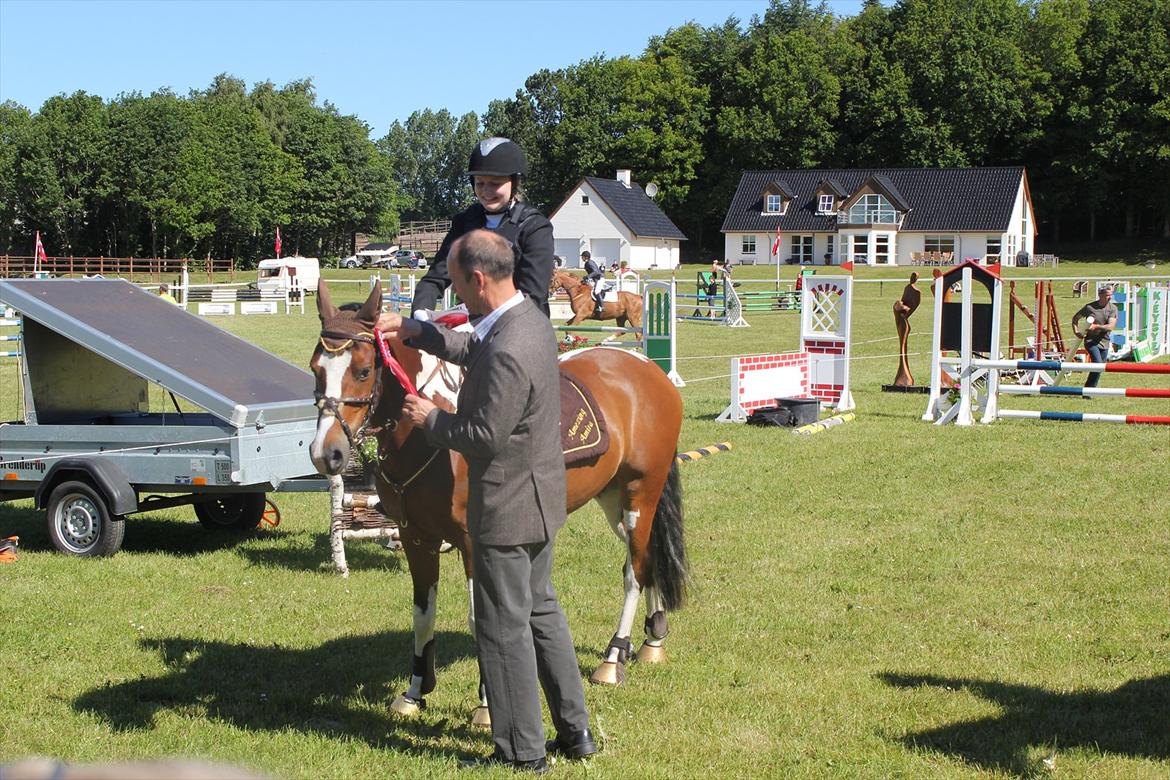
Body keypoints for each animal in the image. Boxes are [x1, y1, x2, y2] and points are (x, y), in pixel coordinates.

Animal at [311, 280, 687, 725]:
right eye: (316, 368)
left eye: (363, 371)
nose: (326, 453)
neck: (437, 430)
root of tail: (647, 368)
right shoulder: (416, 537)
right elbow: (423, 613)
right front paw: (415, 692)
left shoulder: (477, 543)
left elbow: (481, 619)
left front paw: (487, 704)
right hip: (614, 499)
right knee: (647, 557)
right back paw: (653, 639)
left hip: (639, 494)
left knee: (636, 569)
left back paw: (614, 657)